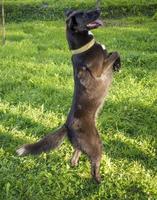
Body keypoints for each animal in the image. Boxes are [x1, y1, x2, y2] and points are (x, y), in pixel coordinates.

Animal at [16, 9, 121, 184]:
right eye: (85, 14)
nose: (99, 10)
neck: (82, 47)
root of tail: (67, 125)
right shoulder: (99, 70)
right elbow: (115, 52)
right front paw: (117, 63)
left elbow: (114, 53)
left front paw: (118, 65)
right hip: (95, 144)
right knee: (94, 165)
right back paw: (99, 182)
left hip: (83, 144)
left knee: (74, 157)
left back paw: (75, 166)